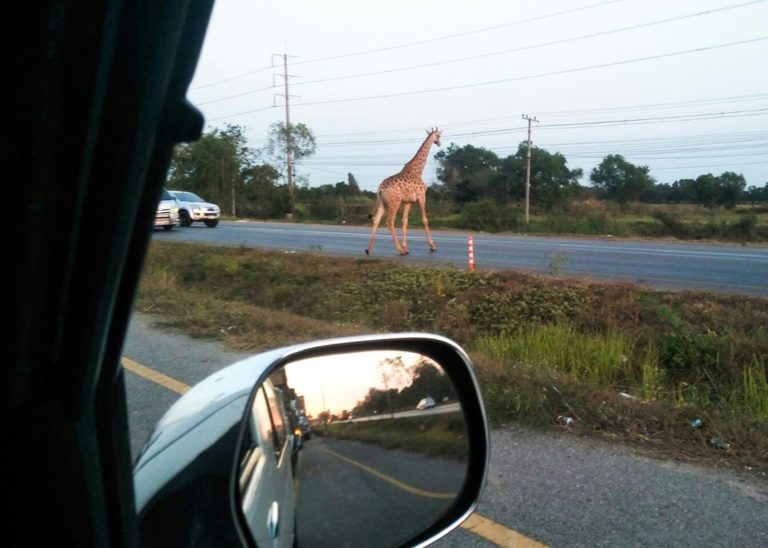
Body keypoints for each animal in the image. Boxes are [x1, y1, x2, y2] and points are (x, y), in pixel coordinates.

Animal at [365, 127, 441, 255]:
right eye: (439, 136)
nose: (439, 143)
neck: (418, 171)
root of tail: (380, 189)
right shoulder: (422, 197)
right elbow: (425, 220)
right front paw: (432, 246)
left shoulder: (408, 202)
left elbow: (404, 222)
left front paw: (406, 247)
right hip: (394, 203)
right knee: (389, 222)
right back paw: (399, 250)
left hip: (382, 203)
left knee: (376, 219)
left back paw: (368, 249)